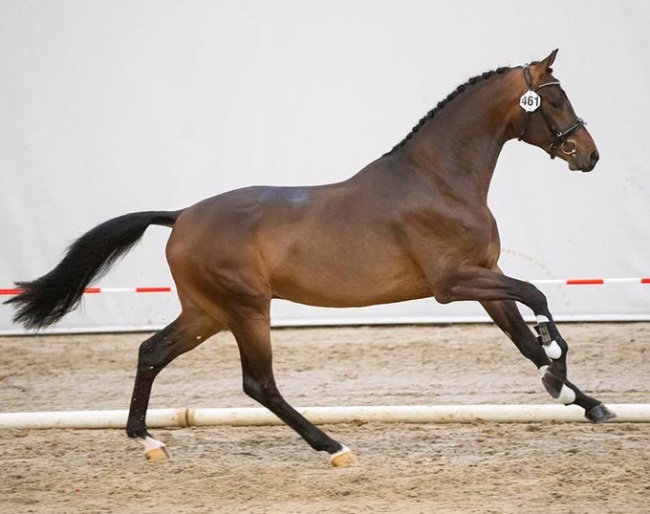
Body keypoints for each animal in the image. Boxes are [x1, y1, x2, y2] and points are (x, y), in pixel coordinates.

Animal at [6, 51, 612, 464]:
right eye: (554, 99)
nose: (590, 156)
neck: (440, 181)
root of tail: (181, 216)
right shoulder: (455, 282)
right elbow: (538, 300)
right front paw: (558, 375)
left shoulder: (484, 279)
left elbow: (525, 340)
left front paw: (584, 401)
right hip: (246, 308)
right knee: (259, 384)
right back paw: (332, 447)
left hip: (207, 312)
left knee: (151, 352)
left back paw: (148, 440)